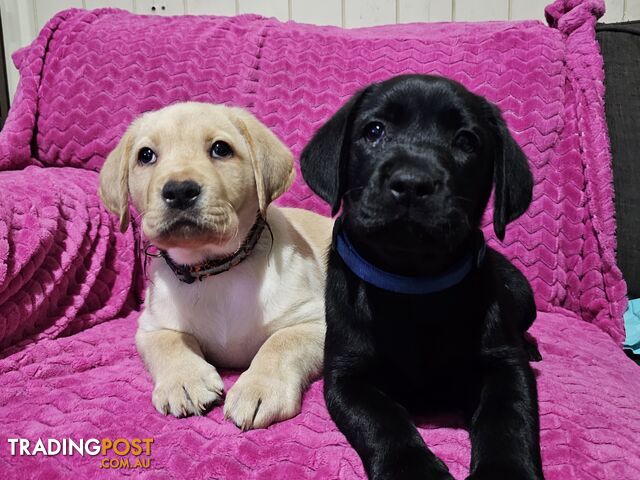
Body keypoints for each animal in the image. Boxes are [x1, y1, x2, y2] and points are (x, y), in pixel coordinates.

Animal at [99, 100, 332, 428]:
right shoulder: (151, 326)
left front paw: (258, 388)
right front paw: (185, 380)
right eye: (146, 155)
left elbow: (280, 344)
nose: (179, 191)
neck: (215, 268)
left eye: (221, 149)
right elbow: (171, 343)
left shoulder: (314, 321)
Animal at [302, 73, 544, 478]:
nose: (413, 183)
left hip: (523, 295)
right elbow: (381, 418)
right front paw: (413, 469)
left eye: (466, 141)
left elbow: (508, 415)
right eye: (374, 130)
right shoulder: (346, 375)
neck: (412, 284)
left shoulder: (505, 366)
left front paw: (505, 470)